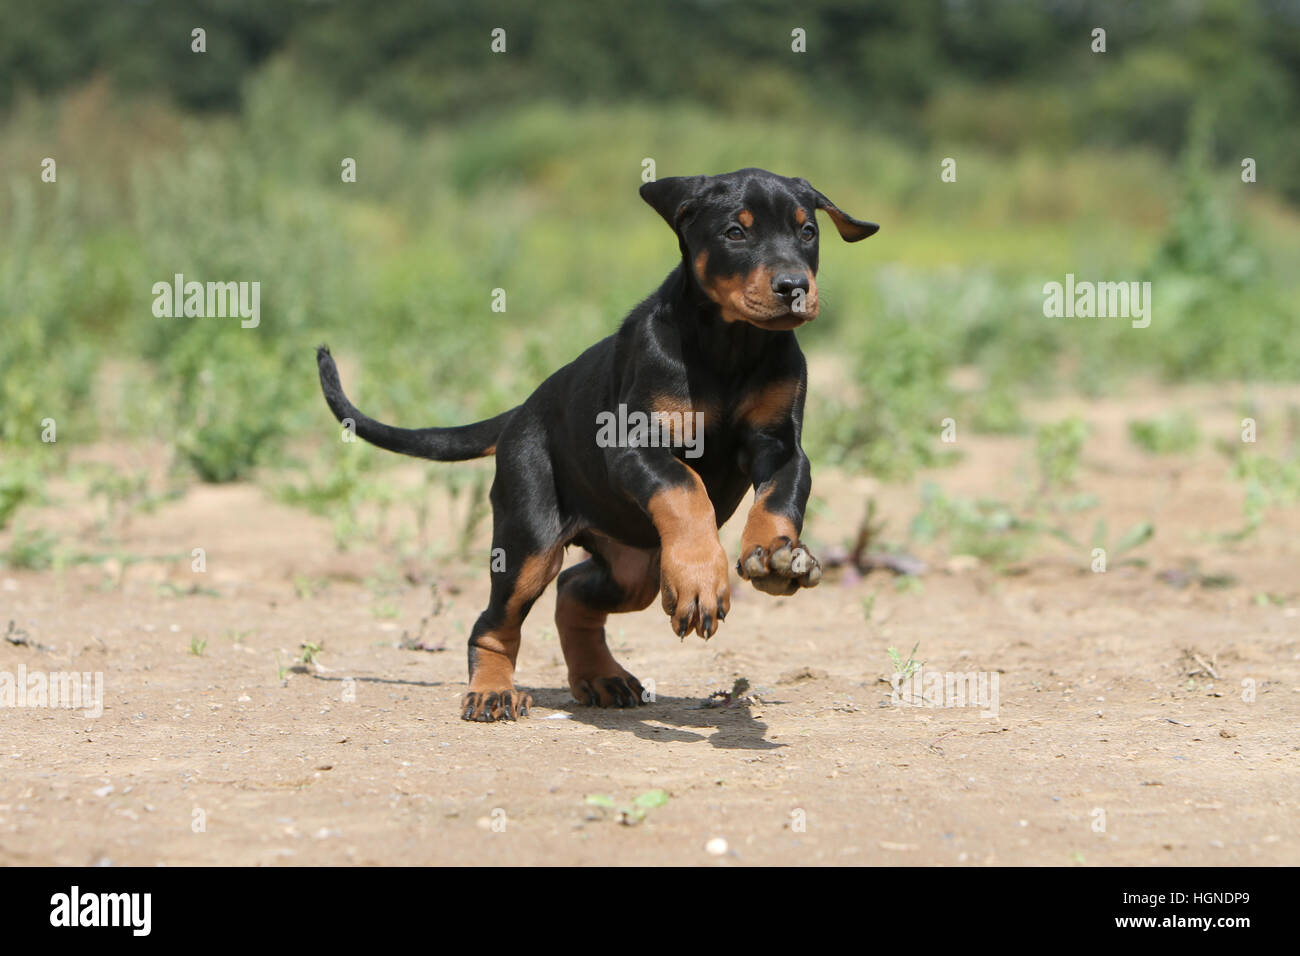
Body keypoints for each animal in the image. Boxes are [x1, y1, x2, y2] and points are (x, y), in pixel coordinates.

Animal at [318, 167, 878, 723]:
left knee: (574, 592)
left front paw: (775, 554)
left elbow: (780, 497)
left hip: (635, 565)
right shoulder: (632, 444)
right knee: (496, 619)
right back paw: (492, 691)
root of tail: (521, 412)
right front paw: (702, 577)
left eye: (808, 232)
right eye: (735, 233)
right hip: (529, 542)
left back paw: (601, 676)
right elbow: (685, 487)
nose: (794, 287)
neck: (730, 347)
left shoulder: (781, 446)